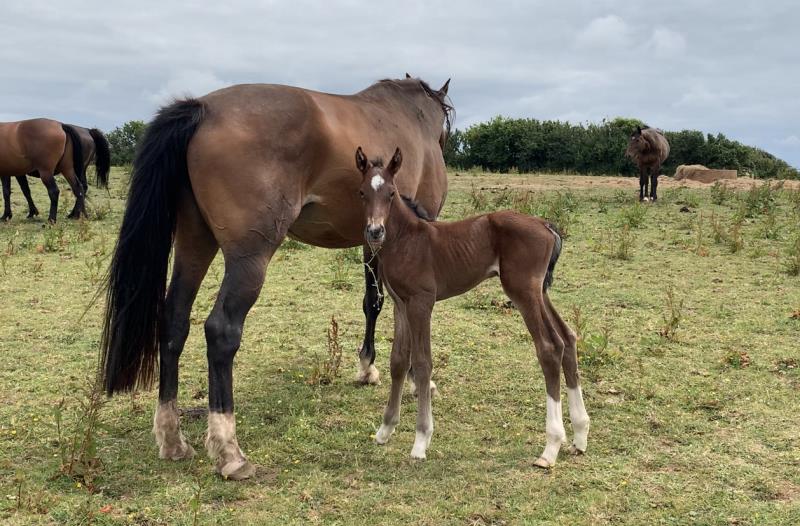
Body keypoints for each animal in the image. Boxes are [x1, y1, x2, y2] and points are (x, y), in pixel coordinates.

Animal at [97, 76, 454, 480]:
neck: (412, 119)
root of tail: (202, 108)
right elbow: (393, 308)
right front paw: (413, 379)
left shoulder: (375, 237)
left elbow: (373, 302)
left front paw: (368, 367)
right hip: (249, 259)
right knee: (221, 331)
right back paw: (230, 451)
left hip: (193, 242)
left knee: (174, 320)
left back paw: (172, 439)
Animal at [354, 146, 588, 468]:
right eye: (363, 192)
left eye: (391, 193)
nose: (375, 231)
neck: (408, 239)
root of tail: (546, 225)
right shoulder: (400, 304)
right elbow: (399, 360)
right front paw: (385, 429)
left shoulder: (422, 303)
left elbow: (423, 363)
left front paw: (421, 441)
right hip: (540, 291)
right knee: (568, 338)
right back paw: (580, 436)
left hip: (523, 291)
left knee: (549, 348)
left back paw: (550, 447)